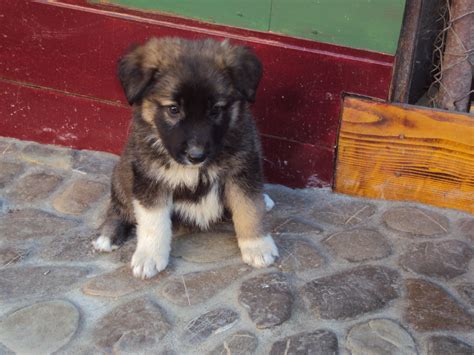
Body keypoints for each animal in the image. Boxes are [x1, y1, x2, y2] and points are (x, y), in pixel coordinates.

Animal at [92, 36, 278, 280]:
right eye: (173, 109)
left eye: (215, 110)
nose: (196, 155)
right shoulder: (150, 178)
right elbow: (153, 221)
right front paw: (149, 256)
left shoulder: (243, 169)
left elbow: (249, 208)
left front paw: (257, 246)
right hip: (122, 175)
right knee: (117, 208)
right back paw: (108, 236)